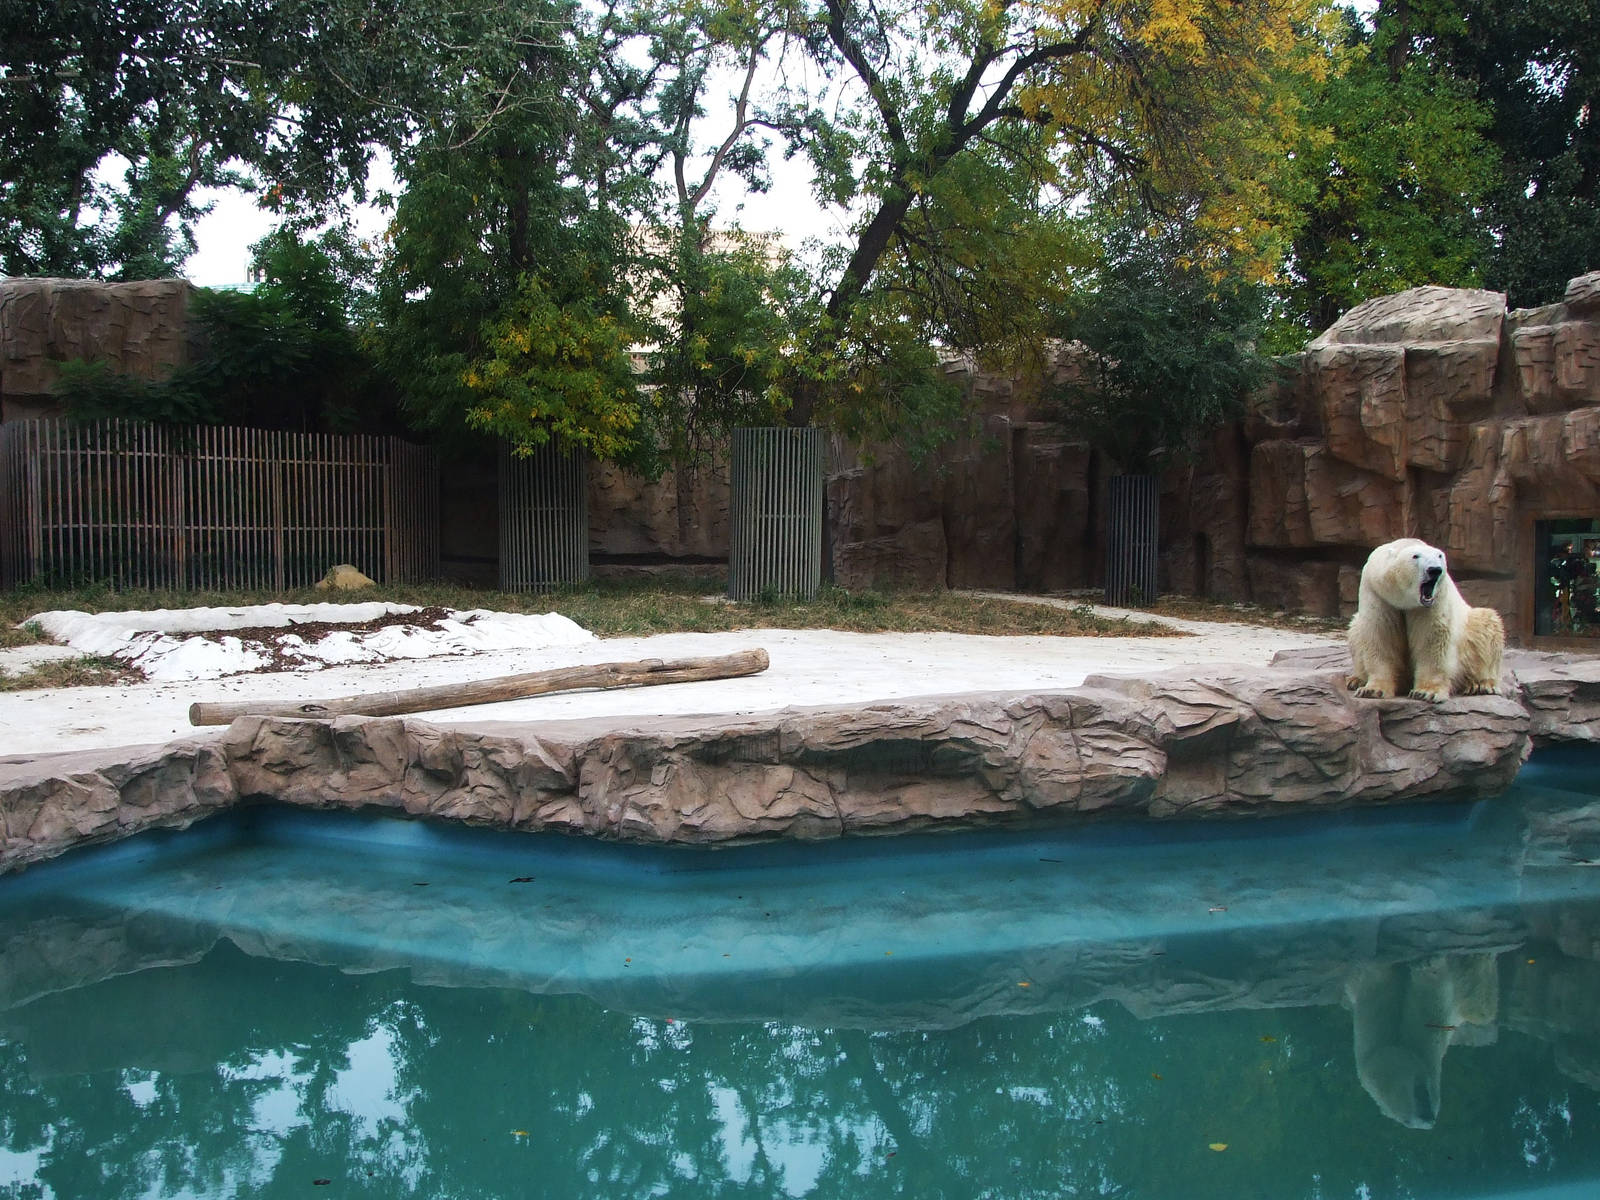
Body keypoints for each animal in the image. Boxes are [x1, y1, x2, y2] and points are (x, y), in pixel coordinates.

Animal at [1346, 537, 1505, 702]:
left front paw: (1425, 692)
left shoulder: (1435, 600)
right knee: (1355, 630)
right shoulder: (1377, 591)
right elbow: (1380, 635)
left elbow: (1432, 639)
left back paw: (1481, 685)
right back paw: (1355, 680)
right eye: (1415, 556)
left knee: (1486, 626)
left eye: (1439, 555)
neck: (1404, 597)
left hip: (1469, 629)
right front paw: (1372, 690)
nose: (1435, 570)